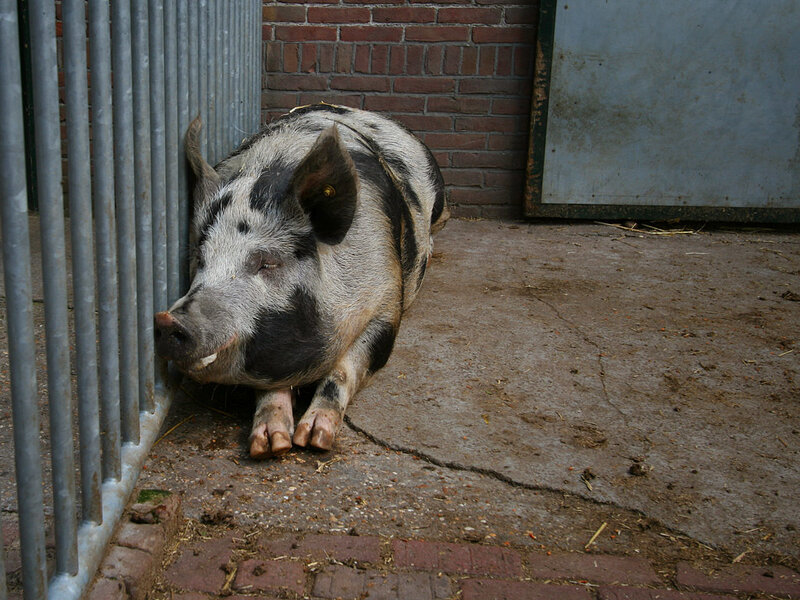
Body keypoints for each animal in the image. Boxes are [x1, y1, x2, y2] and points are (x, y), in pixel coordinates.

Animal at [154, 103, 448, 458]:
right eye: (200, 257)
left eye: (267, 262)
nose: (168, 320)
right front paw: (271, 446)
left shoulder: (388, 299)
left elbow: (345, 368)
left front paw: (314, 440)